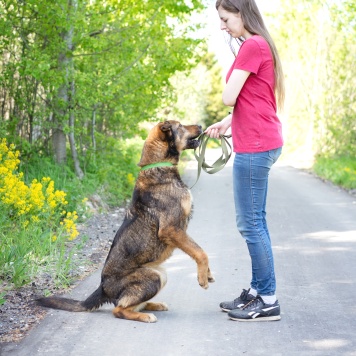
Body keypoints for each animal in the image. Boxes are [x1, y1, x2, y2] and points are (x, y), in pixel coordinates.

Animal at [36, 119, 214, 322]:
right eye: (181, 126)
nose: (201, 125)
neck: (157, 165)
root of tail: (103, 288)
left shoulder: (179, 231)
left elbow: (198, 250)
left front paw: (207, 274)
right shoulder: (172, 229)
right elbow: (200, 252)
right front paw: (202, 278)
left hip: (160, 274)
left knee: (128, 303)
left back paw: (153, 305)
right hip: (154, 277)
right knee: (119, 309)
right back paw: (145, 315)